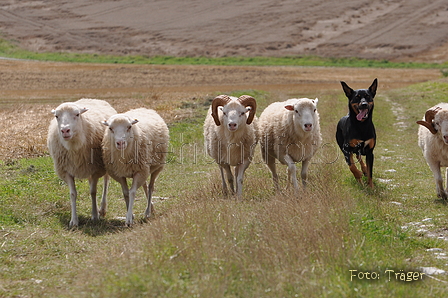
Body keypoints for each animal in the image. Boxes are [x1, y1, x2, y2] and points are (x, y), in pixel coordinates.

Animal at [46, 97, 117, 226]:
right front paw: (74, 221)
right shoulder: (67, 171)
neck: (74, 147)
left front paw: (95, 216)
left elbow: (93, 192)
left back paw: (102, 209)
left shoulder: (96, 169)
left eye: (77, 114)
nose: (65, 130)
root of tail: (92, 98)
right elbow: (73, 194)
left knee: (106, 181)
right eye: (57, 116)